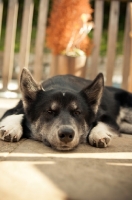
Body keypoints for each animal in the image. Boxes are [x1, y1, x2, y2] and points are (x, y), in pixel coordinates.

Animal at [0, 68, 131, 151]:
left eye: (77, 112)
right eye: (49, 111)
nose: (67, 134)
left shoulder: (107, 117)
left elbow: (102, 123)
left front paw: (98, 134)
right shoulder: (15, 108)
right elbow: (17, 114)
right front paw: (11, 127)